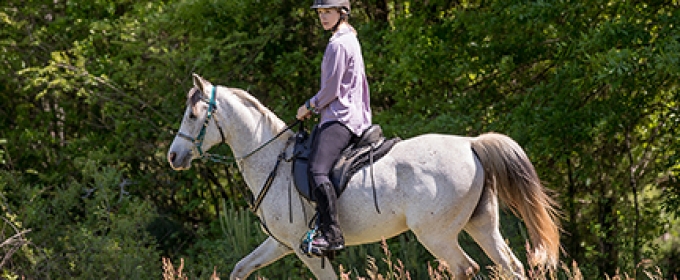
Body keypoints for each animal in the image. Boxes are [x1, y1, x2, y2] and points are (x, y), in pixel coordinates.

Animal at [167, 74, 560, 280]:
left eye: (192, 115)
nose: (173, 156)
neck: (271, 160)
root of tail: (471, 144)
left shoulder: (305, 249)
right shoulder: (282, 243)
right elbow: (241, 267)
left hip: (437, 235)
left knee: (465, 268)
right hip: (482, 226)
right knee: (511, 266)